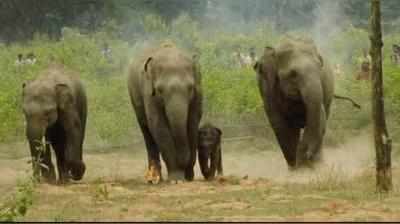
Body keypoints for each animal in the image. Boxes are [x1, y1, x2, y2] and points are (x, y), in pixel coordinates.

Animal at [128, 43, 203, 183]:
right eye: (159, 90)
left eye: (190, 88)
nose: (183, 161)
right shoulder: (148, 94)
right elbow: (158, 125)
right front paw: (176, 179)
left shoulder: (198, 92)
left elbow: (193, 122)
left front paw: (188, 177)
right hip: (135, 100)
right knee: (146, 131)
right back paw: (154, 178)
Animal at [253, 37, 334, 170]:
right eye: (293, 74)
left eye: (319, 68)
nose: (308, 155)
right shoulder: (267, 90)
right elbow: (280, 125)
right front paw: (296, 169)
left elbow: (318, 118)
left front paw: (304, 165)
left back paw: (318, 164)